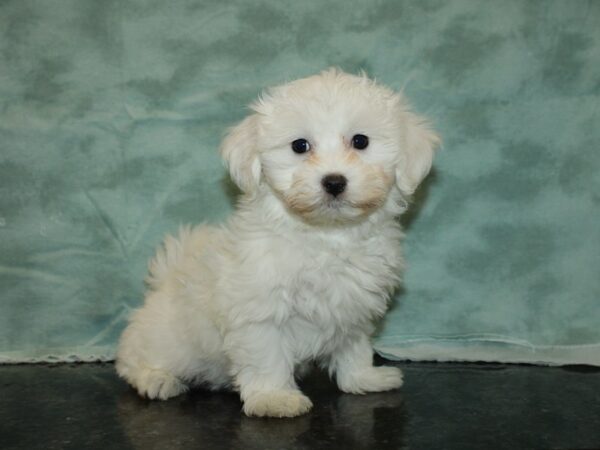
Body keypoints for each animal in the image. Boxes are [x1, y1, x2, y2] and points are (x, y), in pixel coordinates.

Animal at [116, 67, 440, 418]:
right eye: (299, 145)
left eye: (360, 141)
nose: (334, 181)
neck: (326, 236)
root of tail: (166, 279)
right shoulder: (260, 312)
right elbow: (266, 357)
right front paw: (274, 398)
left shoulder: (353, 305)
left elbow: (354, 346)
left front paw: (362, 378)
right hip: (167, 341)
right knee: (133, 359)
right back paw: (156, 378)